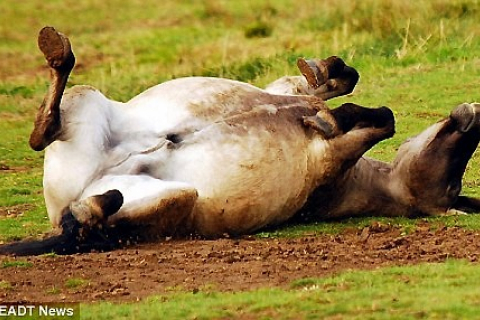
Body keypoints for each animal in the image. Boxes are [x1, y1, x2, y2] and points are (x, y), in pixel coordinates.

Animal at [1, 28, 478, 256]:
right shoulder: (284, 91)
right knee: (44, 133)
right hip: (87, 104)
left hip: (173, 197)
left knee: (85, 224)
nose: (472, 116)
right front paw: (325, 75)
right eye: (454, 172)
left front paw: (327, 113)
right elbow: (333, 90)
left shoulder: (330, 160)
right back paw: (57, 51)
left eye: (452, 185)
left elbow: (379, 121)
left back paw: (98, 207)